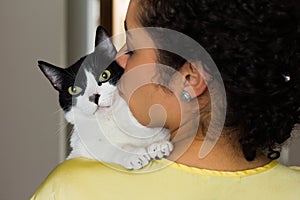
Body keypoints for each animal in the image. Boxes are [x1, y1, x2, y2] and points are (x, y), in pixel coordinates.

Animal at [37, 25, 173, 169]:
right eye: (74, 89)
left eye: (104, 75)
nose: (94, 96)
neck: (111, 119)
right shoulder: (84, 148)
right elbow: (108, 149)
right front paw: (134, 154)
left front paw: (159, 145)